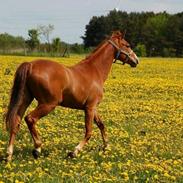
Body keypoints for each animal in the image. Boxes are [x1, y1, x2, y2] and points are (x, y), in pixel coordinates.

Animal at [5, 31, 139, 162]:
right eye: (127, 45)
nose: (136, 60)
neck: (95, 70)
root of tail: (31, 65)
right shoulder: (90, 108)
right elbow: (89, 131)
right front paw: (74, 152)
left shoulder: (93, 108)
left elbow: (101, 125)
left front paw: (106, 147)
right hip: (48, 104)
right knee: (30, 119)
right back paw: (37, 148)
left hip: (26, 100)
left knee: (16, 122)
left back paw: (9, 155)